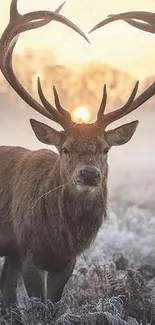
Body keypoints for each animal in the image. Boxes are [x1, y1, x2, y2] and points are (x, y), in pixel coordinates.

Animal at [0, 0, 155, 308]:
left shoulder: (66, 261)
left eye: (105, 148)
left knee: (6, 296)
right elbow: (40, 304)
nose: (89, 174)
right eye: (65, 148)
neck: (60, 237)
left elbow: (54, 303)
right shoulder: (28, 251)